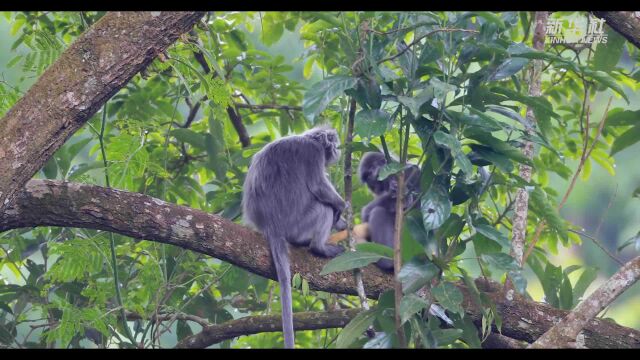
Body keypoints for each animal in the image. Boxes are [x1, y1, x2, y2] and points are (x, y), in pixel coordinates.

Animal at [242, 125, 348, 348]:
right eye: (334, 143)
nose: (337, 150)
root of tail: (272, 226)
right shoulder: (313, 153)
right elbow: (318, 186)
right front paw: (342, 208)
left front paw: (341, 221)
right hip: (298, 225)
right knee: (323, 208)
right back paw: (319, 247)